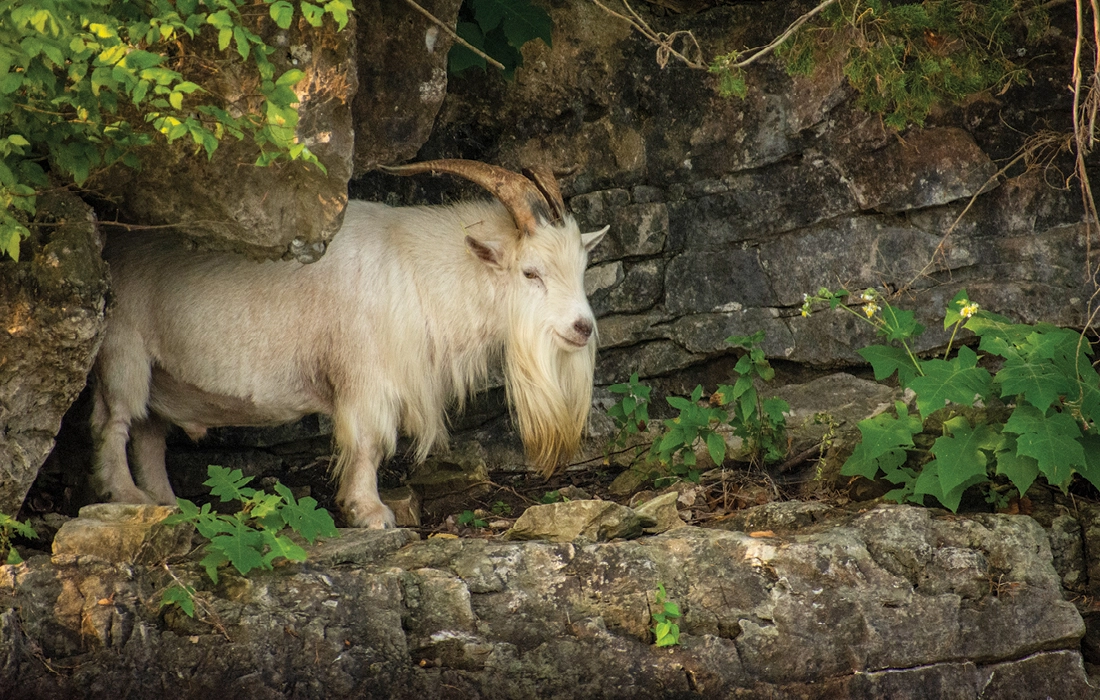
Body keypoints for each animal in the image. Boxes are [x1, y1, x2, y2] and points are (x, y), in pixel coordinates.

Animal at [92, 162, 611, 523]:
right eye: (531, 273)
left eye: (582, 268)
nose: (582, 327)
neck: (416, 270)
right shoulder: (364, 376)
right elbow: (368, 443)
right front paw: (370, 512)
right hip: (122, 352)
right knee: (115, 422)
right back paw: (129, 498)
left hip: (160, 375)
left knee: (148, 432)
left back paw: (167, 503)